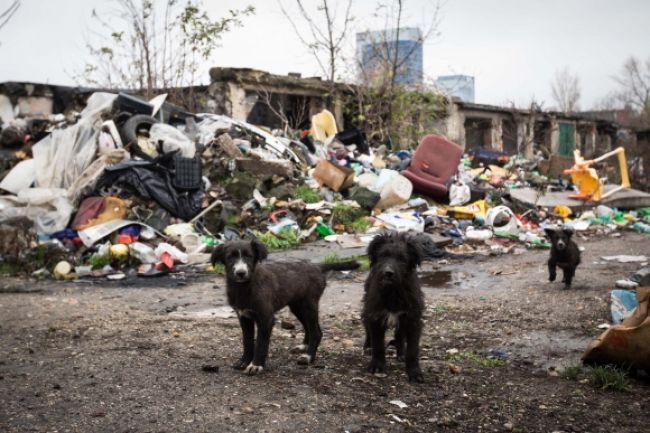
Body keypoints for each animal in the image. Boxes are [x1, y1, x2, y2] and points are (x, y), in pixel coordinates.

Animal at [210, 238, 356, 372]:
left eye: (249, 256)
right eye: (230, 257)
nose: (241, 273)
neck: (245, 287)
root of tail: (318, 266)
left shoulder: (266, 318)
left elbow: (261, 343)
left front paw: (256, 365)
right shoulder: (244, 316)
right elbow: (247, 341)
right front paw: (245, 361)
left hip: (309, 305)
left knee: (316, 331)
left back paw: (308, 356)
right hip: (297, 306)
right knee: (308, 326)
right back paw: (304, 346)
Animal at [360, 233, 426, 382]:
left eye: (402, 259)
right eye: (383, 255)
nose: (388, 272)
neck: (393, 291)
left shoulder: (413, 319)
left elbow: (413, 350)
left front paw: (414, 372)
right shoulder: (375, 316)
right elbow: (378, 345)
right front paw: (377, 366)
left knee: (399, 334)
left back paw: (400, 353)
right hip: (366, 309)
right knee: (367, 329)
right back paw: (367, 346)